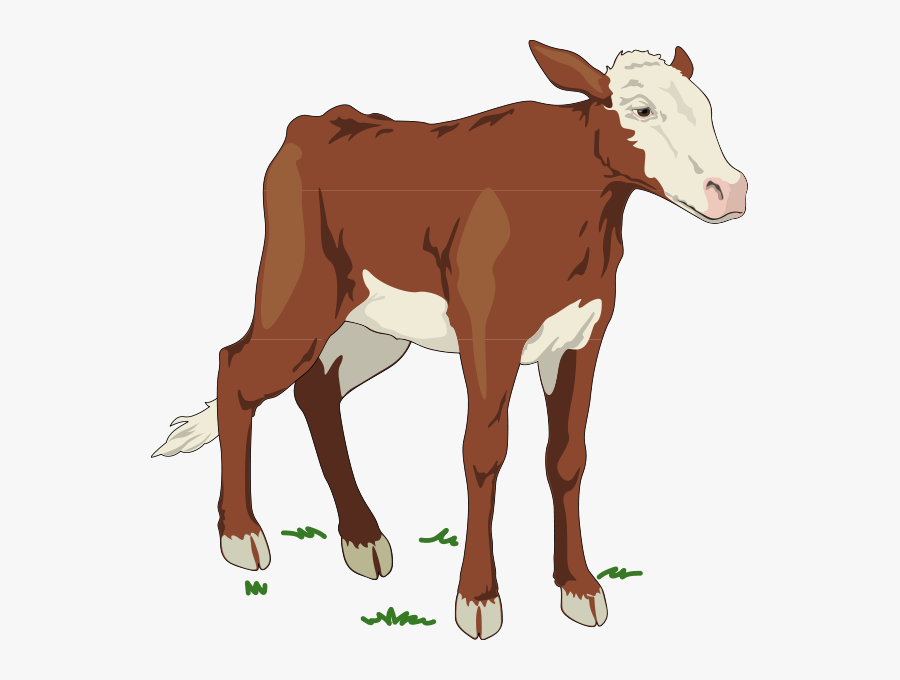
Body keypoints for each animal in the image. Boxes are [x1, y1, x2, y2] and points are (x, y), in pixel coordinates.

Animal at [152, 40, 747, 640]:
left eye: (708, 109)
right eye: (642, 110)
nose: (730, 190)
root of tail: (316, 123)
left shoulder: (583, 336)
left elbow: (567, 457)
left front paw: (578, 586)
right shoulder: (487, 333)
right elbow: (483, 454)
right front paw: (478, 597)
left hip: (377, 326)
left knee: (315, 390)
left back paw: (361, 536)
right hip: (299, 295)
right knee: (236, 368)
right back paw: (241, 534)